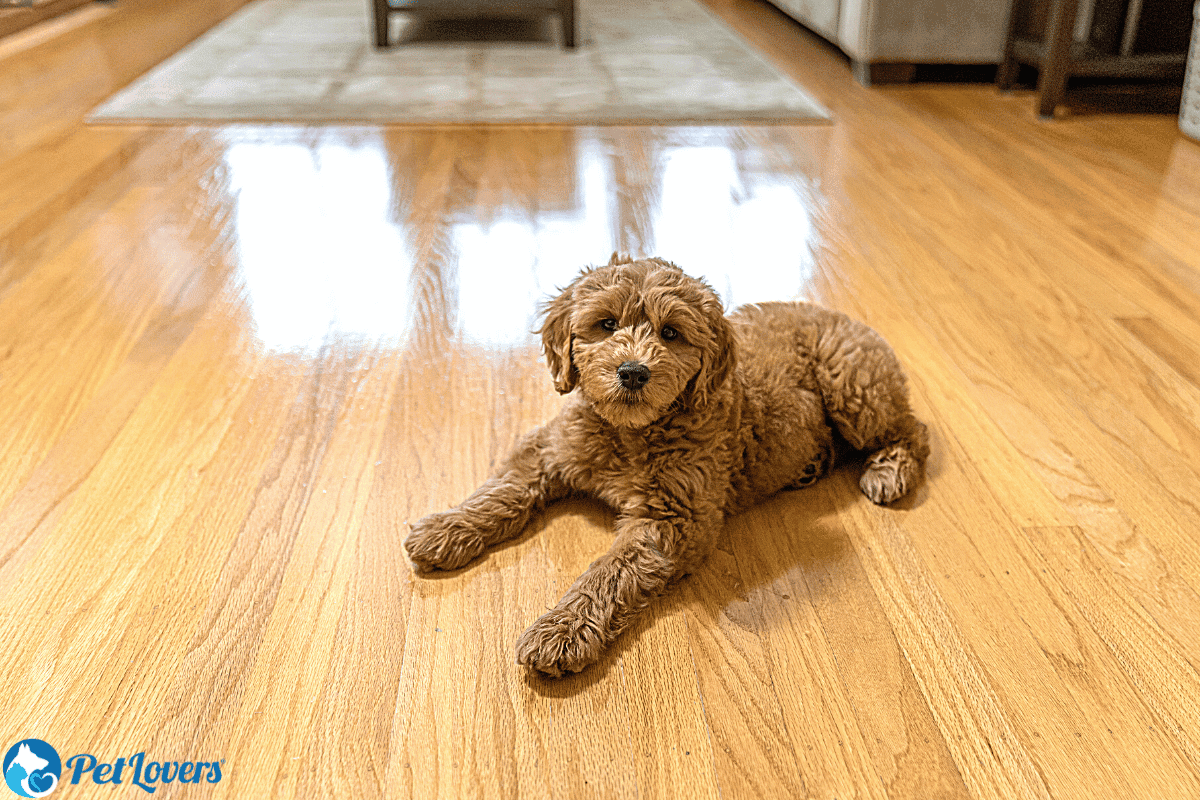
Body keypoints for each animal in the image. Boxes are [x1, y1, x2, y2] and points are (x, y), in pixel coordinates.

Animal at [403, 255, 926, 676]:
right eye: (606, 324)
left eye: (671, 333)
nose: (633, 372)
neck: (629, 432)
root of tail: (839, 314)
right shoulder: (550, 449)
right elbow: (502, 489)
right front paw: (447, 528)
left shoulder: (673, 518)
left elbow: (609, 572)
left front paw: (563, 630)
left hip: (854, 388)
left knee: (913, 429)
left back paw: (889, 471)